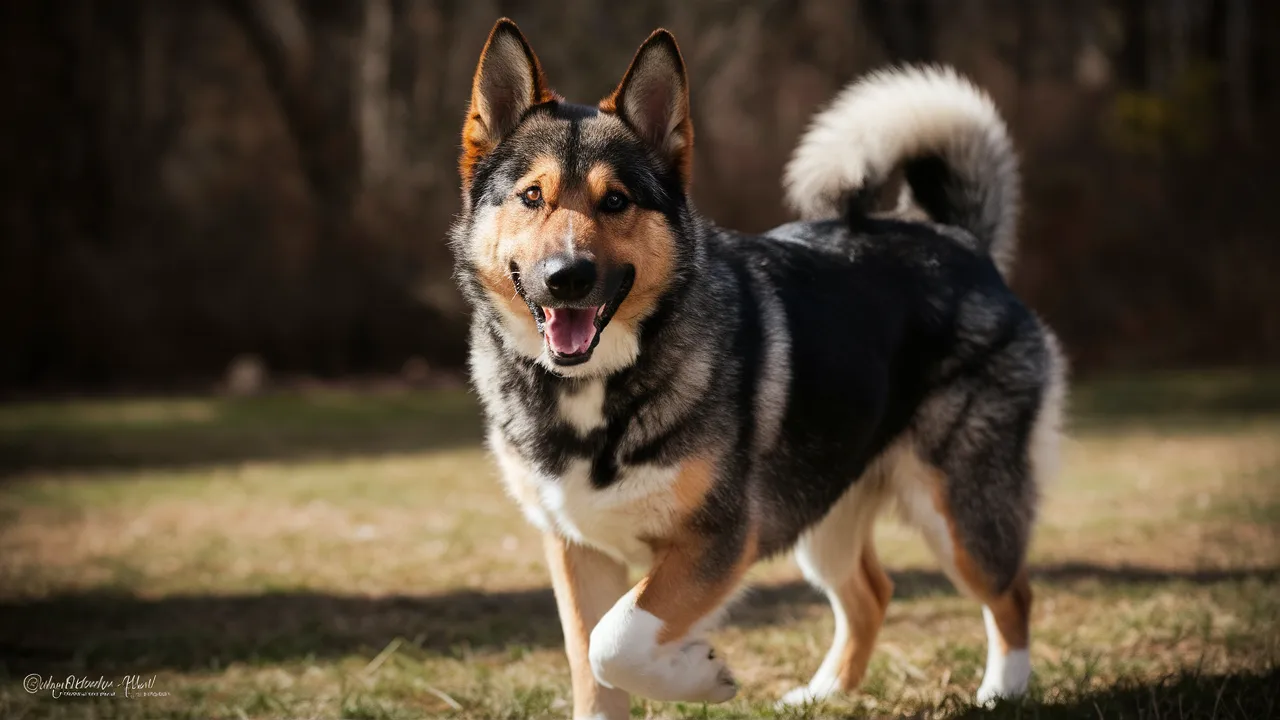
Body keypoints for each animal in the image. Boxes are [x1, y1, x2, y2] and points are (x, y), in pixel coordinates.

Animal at [455, 18, 1064, 717]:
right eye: (532, 196)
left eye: (616, 202)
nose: (568, 278)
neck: (601, 385)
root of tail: (960, 241)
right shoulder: (577, 549)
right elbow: (593, 667)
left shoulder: (721, 539)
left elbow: (616, 640)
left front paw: (698, 676)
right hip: (821, 508)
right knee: (870, 594)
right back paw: (822, 693)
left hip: (958, 509)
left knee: (1012, 594)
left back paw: (1000, 692)